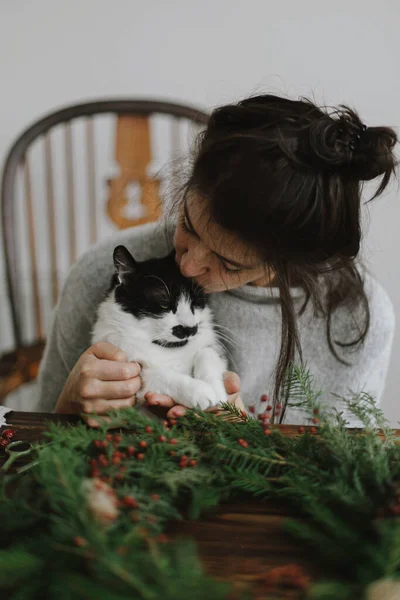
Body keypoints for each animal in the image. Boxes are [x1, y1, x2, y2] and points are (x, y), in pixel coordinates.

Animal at [91, 246, 228, 410]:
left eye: (195, 302)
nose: (190, 329)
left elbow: (206, 353)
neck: (167, 348)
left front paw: (217, 392)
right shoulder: (138, 378)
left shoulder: (211, 347)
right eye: (164, 303)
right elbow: (162, 375)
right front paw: (200, 391)